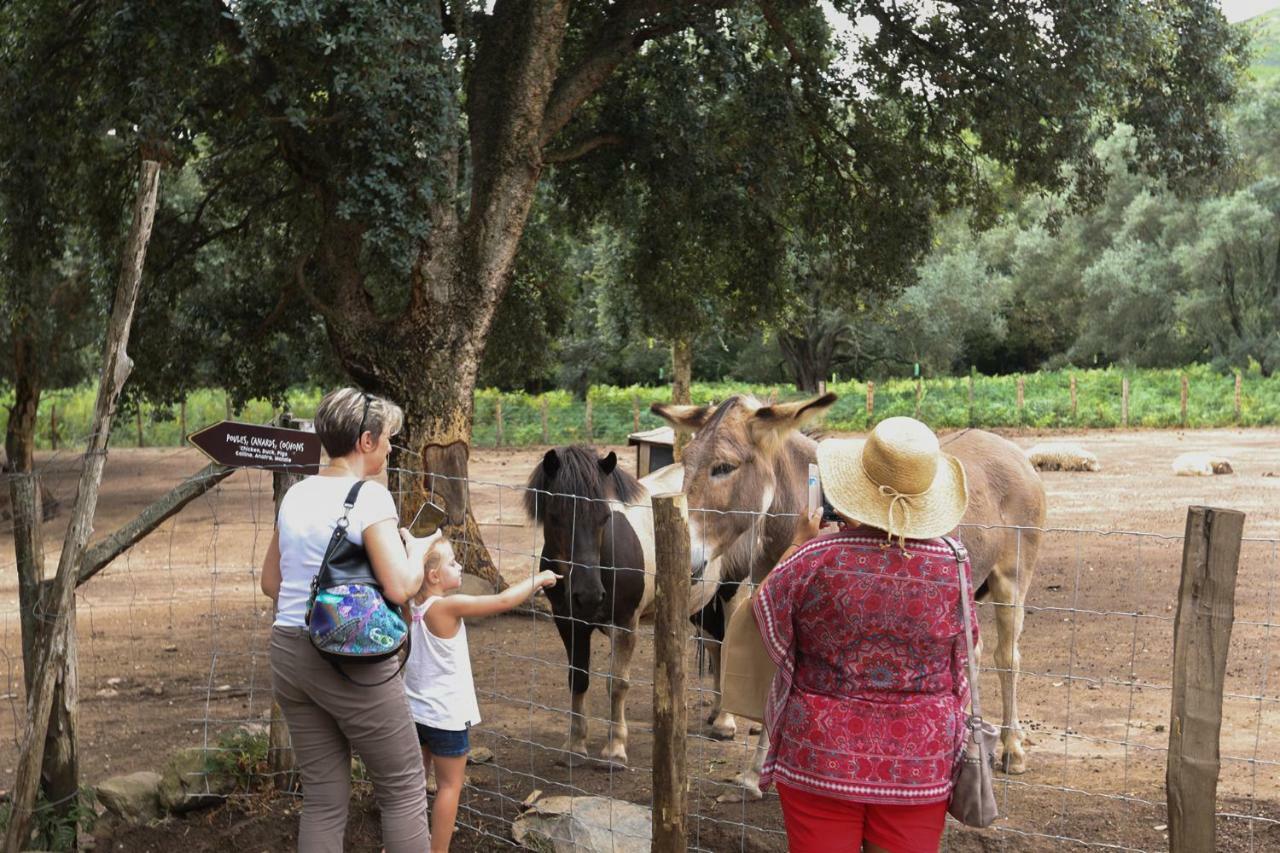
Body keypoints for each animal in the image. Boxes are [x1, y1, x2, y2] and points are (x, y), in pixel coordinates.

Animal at [655, 389, 1044, 783]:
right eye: (685, 462)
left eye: (724, 467)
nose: (685, 558)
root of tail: (1007, 446)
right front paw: (758, 772)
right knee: (972, 655)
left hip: (1012, 580)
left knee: (1007, 657)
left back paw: (1012, 749)